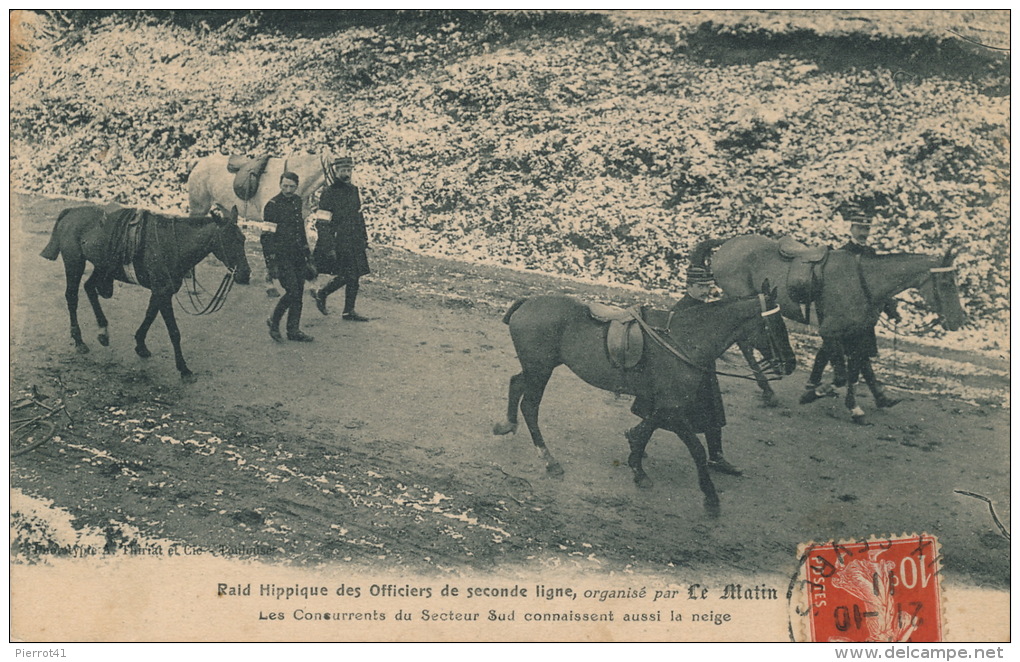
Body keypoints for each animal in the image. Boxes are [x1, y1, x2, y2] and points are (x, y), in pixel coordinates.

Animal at [41, 202, 252, 381]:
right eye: (228, 240)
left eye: (242, 239)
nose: (245, 274)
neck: (173, 244)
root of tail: (71, 211)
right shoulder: (163, 292)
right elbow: (174, 331)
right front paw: (183, 369)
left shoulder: (161, 292)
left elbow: (149, 315)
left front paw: (140, 345)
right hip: (74, 263)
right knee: (72, 297)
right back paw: (79, 340)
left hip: (102, 267)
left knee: (89, 288)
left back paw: (103, 331)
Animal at [489, 281, 791, 518]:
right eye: (775, 324)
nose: (791, 364)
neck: (683, 339)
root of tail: (529, 302)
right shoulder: (673, 407)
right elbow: (695, 448)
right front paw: (710, 497)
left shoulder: (664, 403)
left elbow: (648, 427)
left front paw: (637, 462)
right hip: (540, 370)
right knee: (530, 406)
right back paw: (548, 459)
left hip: (537, 368)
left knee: (516, 383)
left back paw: (507, 424)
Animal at [705, 234, 966, 420]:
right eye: (945, 282)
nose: (959, 320)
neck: (861, 280)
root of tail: (727, 245)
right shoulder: (829, 331)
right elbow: (841, 374)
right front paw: (819, 391)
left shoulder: (857, 332)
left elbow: (856, 367)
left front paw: (856, 404)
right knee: (744, 343)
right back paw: (767, 389)